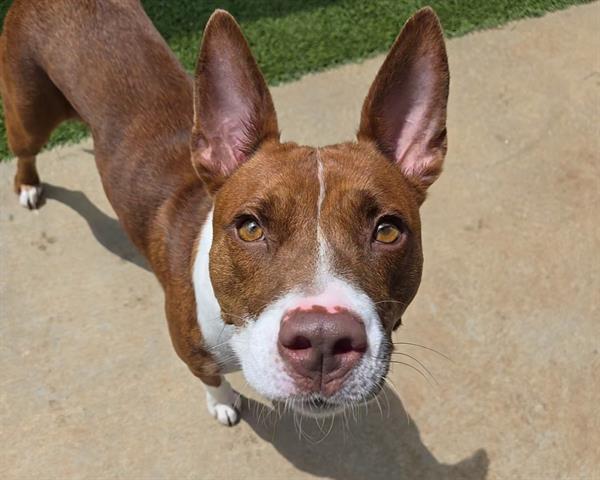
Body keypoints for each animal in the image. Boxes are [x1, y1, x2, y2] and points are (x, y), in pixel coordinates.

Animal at [2, 0, 448, 428]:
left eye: (387, 231)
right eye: (250, 228)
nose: (323, 340)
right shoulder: (192, 352)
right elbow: (210, 377)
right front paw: (222, 403)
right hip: (30, 113)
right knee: (25, 149)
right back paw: (27, 184)